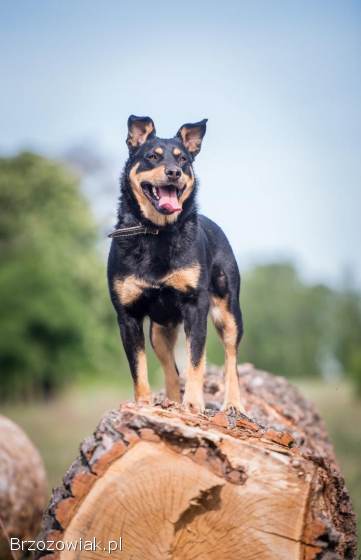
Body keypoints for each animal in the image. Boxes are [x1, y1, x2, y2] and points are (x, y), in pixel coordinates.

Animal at [105, 115, 243, 412]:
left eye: (183, 160)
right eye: (152, 157)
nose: (174, 173)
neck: (156, 232)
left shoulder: (195, 306)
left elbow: (196, 361)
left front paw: (193, 404)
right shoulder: (128, 314)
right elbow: (139, 367)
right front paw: (143, 403)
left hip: (229, 313)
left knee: (231, 359)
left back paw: (233, 404)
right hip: (160, 331)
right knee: (170, 368)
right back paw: (170, 401)